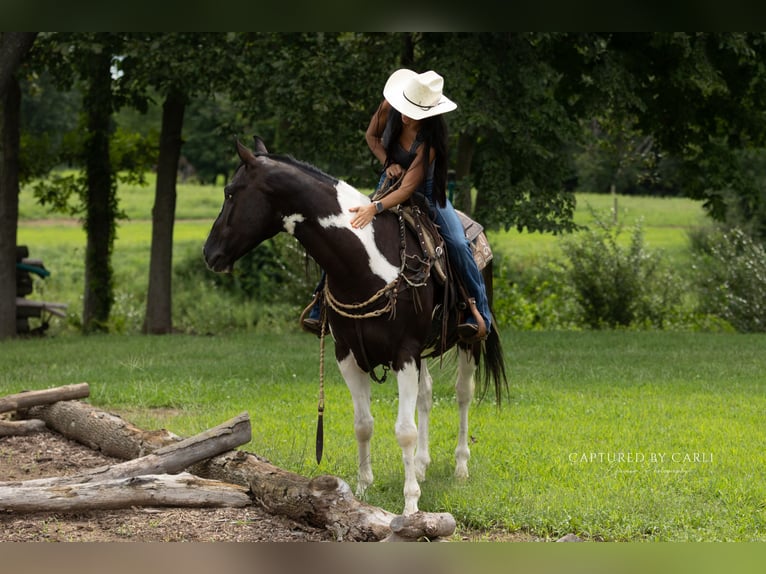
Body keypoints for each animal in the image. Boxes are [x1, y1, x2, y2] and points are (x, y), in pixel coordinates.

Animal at [203, 138, 507, 516]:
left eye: (230, 192)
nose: (209, 253)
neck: (364, 263)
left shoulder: (404, 354)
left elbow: (403, 430)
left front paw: (410, 506)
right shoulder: (347, 354)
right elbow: (363, 425)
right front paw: (361, 491)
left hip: (469, 341)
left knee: (463, 393)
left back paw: (460, 467)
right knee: (426, 394)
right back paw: (422, 465)